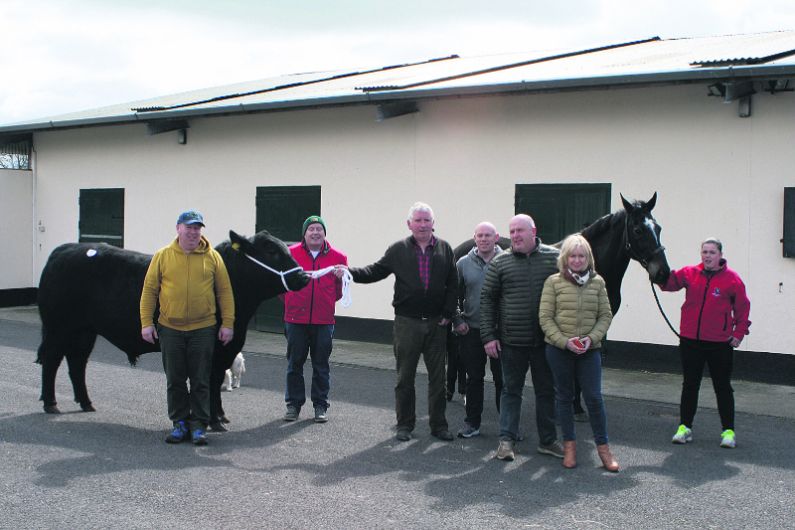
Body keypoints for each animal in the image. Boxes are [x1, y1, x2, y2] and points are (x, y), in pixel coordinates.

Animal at [38, 229, 310, 426]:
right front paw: (212, 420)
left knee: (77, 363)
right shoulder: (213, 350)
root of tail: (64, 249)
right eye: (271, 250)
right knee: (52, 360)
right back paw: (51, 403)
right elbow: (210, 381)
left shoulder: (227, 347)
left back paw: (86, 403)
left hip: (84, 331)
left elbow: (216, 381)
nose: (304, 276)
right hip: (58, 327)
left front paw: (219, 416)